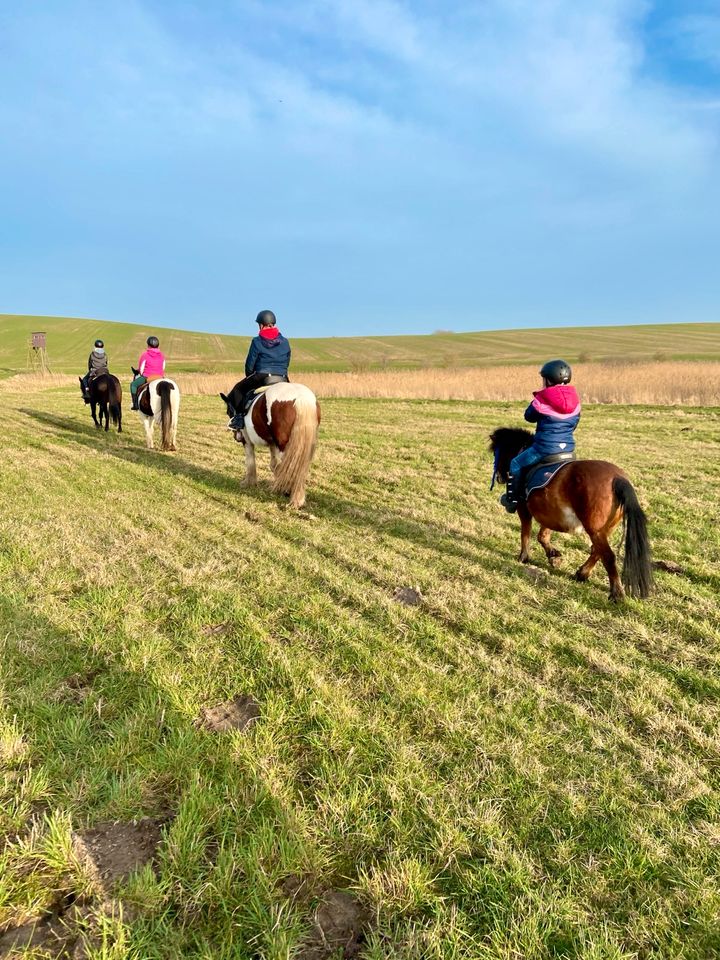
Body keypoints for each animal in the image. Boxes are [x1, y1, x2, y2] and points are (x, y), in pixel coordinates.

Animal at [219, 380, 320, 510]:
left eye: (228, 411)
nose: (237, 437)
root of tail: (301, 398)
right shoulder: (273, 444)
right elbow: (274, 465)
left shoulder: (247, 442)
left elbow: (250, 462)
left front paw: (249, 483)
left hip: (284, 446)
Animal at [490, 428, 652, 600]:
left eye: (497, 452)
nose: (499, 477)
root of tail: (618, 478)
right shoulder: (551, 513)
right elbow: (543, 536)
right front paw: (554, 556)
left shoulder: (524, 509)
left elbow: (525, 533)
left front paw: (524, 557)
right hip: (606, 528)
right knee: (597, 551)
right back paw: (582, 574)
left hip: (595, 529)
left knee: (608, 555)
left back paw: (616, 592)